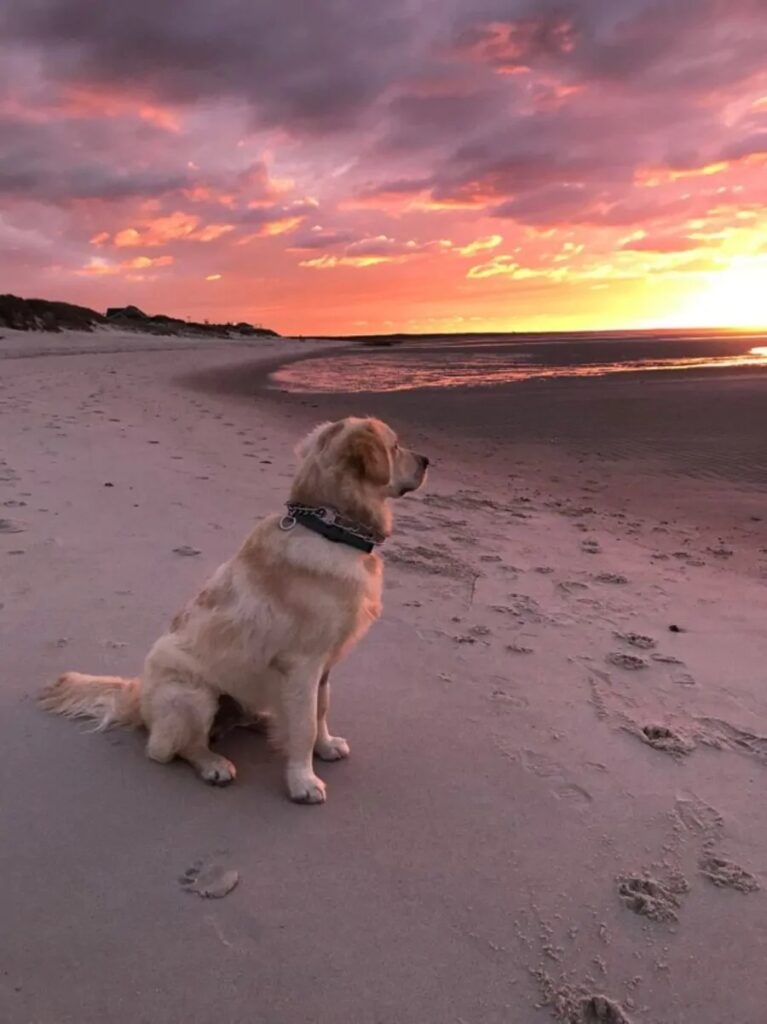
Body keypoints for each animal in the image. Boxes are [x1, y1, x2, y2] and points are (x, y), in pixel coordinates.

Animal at [41, 415, 428, 798]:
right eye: (396, 446)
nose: (426, 460)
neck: (328, 527)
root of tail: (137, 698)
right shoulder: (303, 663)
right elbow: (304, 725)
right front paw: (303, 781)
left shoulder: (325, 665)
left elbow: (321, 709)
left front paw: (326, 745)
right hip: (193, 695)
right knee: (168, 749)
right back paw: (213, 764)